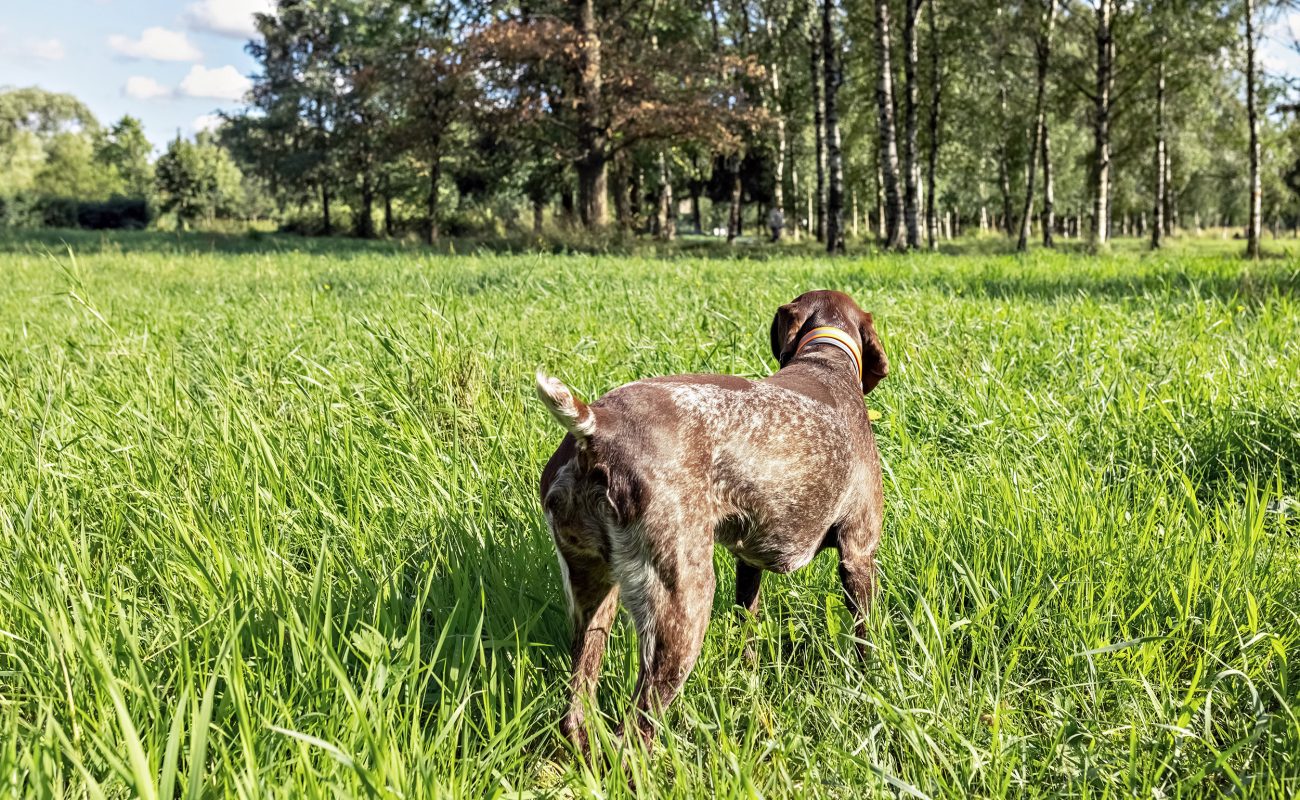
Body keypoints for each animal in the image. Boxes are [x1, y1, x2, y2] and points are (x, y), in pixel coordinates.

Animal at [533, 290, 889, 749]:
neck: (825, 361)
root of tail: (597, 430)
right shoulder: (858, 552)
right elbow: (866, 635)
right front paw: (873, 682)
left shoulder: (749, 559)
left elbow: (747, 622)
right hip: (682, 605)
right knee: (633, 733)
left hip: (592, 592)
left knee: (576, 706)